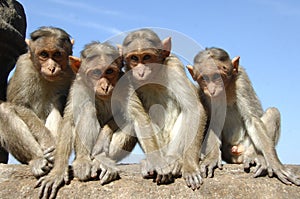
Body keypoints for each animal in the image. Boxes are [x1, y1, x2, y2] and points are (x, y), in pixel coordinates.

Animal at [0, 26, 74, 177]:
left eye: (57, 54)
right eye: (44, 54)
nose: (51, 68)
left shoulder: (71, 72)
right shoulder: (23, 66)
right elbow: (20, 105)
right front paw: (48, 142)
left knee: (59, 100)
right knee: (4, 110)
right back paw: (37, 159)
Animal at [35, 42, 137, 199]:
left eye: (109, 71)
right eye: (96, 73)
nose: (105, 86)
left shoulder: (125, 83)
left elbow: (128, 116)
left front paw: (102, 140)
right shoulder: (77, 87)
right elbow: (69, 122)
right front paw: (57, 171)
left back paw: (102, 162)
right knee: (87, 108)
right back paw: (83, 160)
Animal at [118, 28, 207, 190]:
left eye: (147, 57)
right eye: (134, 58)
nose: (140, 72)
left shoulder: (174, 66)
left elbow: (193, 109)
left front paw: (190, 166)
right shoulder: (125, 78)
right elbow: (138, 116)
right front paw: (156, 163)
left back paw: (175, 160)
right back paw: (150, 163)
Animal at [188, 47, 300, 185]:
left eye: (217, 76)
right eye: (204, 78)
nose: (212, 89)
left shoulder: (242, 81)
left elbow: (252, 119)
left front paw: (275, 163)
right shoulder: (202, 93)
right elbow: (213, 123)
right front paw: (211, 158)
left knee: (273, 112)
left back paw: (256, 156)